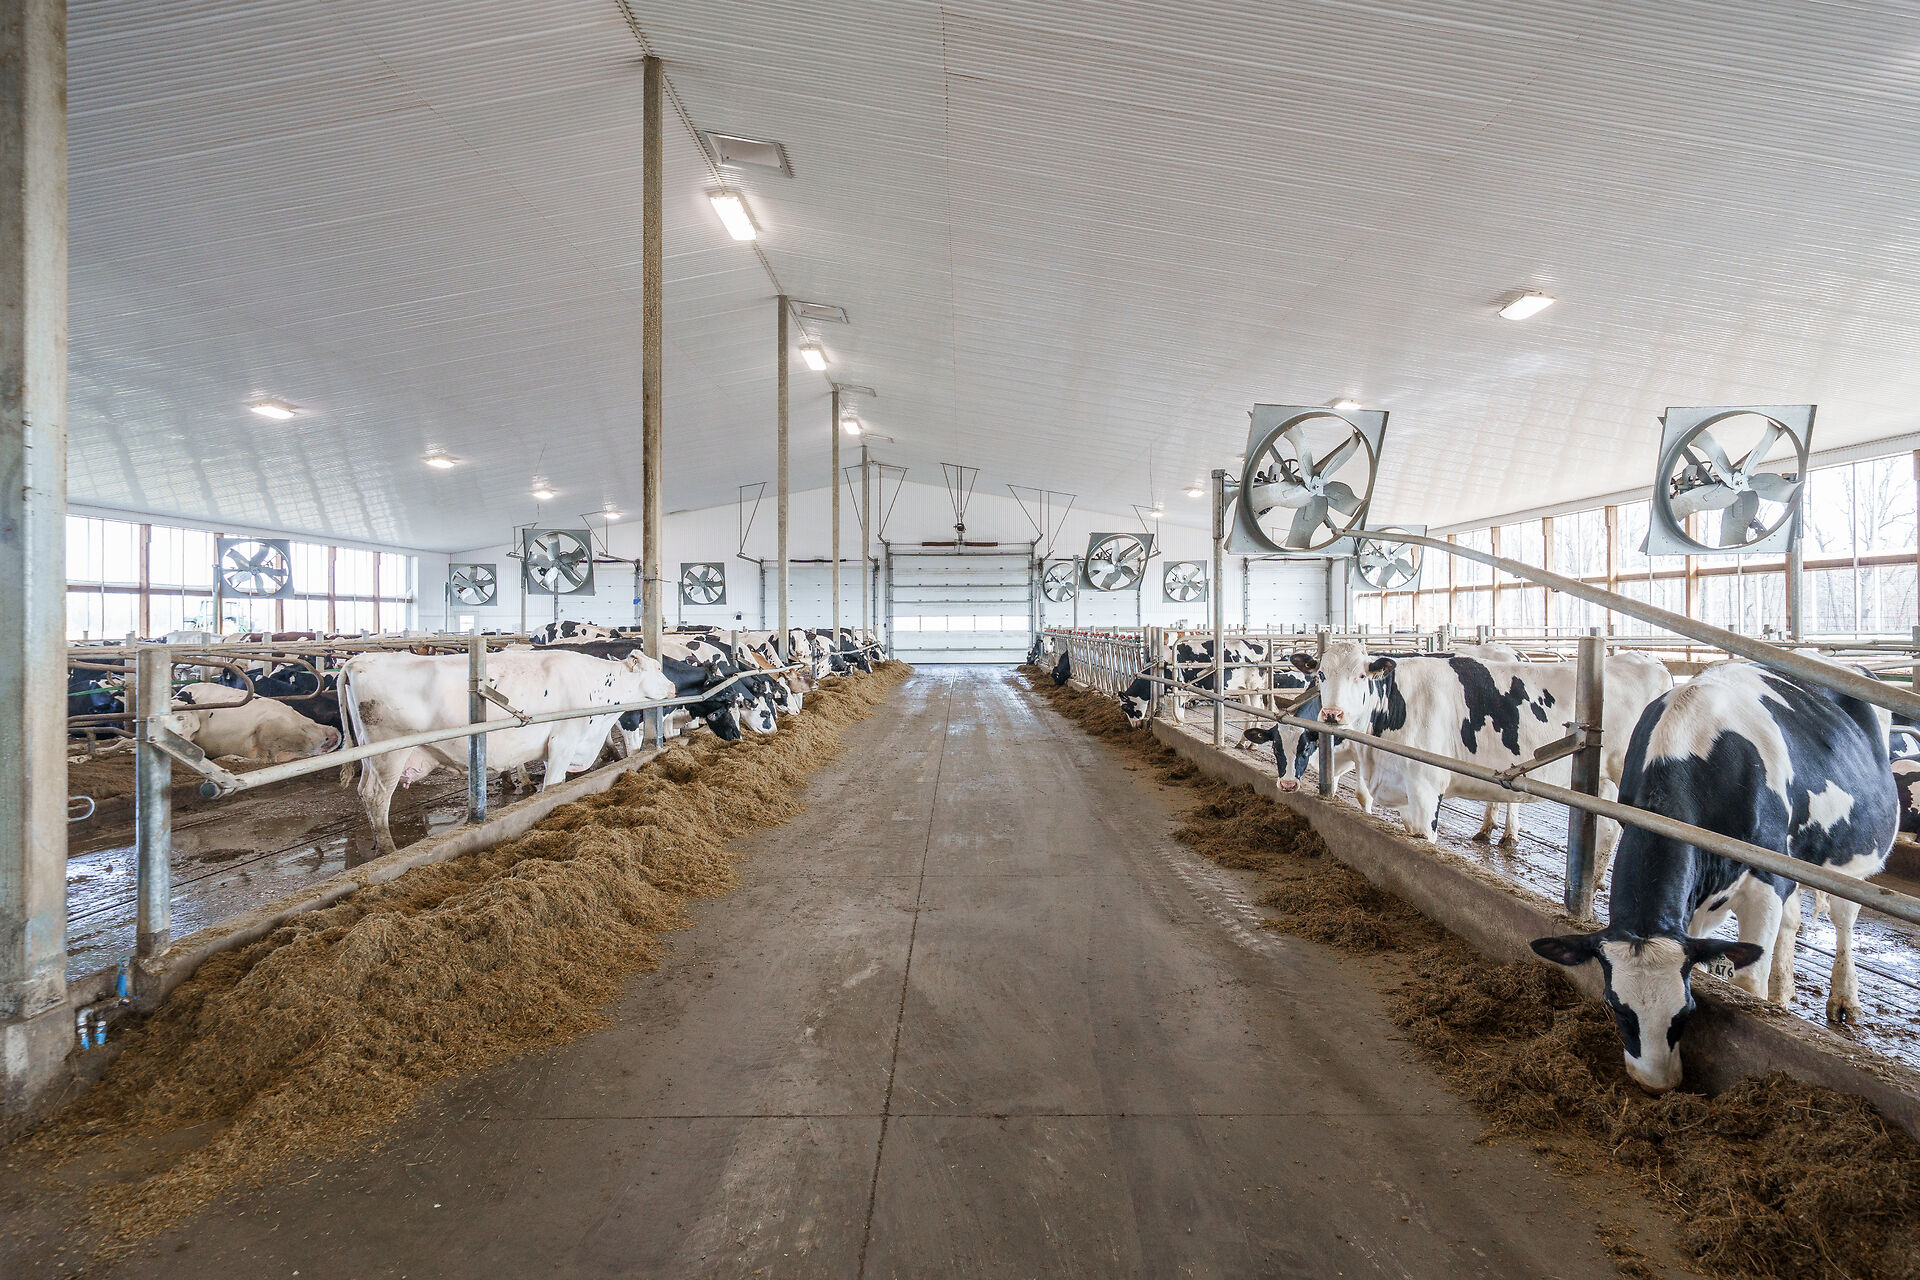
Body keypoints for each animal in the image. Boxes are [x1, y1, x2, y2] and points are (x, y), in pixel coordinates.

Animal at [339, 648, 677, 853]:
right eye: (657, 668)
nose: (674, 687)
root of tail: (358, 661)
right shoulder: (562, 742)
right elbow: (553, 786)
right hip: (390, 754)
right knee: (376, 797)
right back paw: (388, 848)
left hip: (370, 757)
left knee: (363, 791)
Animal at [1296, 641, 1672, 878]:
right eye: (1322, 675)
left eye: (1360, 675)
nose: (1332, 714)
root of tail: (1648, 659)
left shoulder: (1426, 789)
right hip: (1604, 785)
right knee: (1606, 833)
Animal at [1531, 661, 1898, 1090]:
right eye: (1616, 1006)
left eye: (1686, 1010)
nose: (1656, 1083)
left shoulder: (1765, 882)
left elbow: (1747, 983)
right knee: (1791, 922)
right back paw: (1783, 990)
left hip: (1855, 859)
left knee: (1843, 920)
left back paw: (1844, 999)